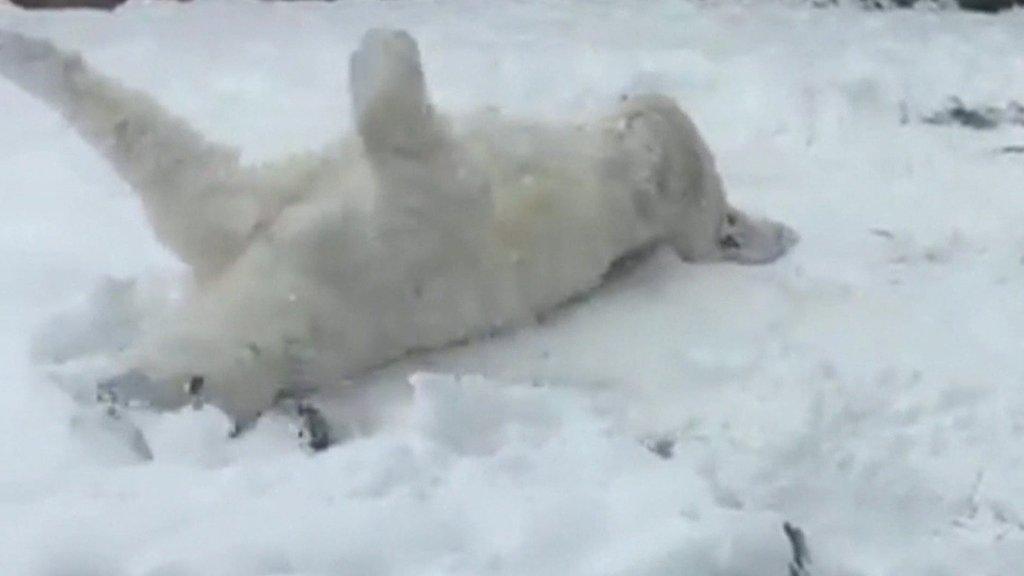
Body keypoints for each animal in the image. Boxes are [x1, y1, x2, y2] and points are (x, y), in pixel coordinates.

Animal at [0, 28, 794, 422]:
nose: (112, 392)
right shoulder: (244, 220)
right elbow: (154, 145)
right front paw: (22, 47)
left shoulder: (406, 224)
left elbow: (398, 130)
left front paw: (375, 49)